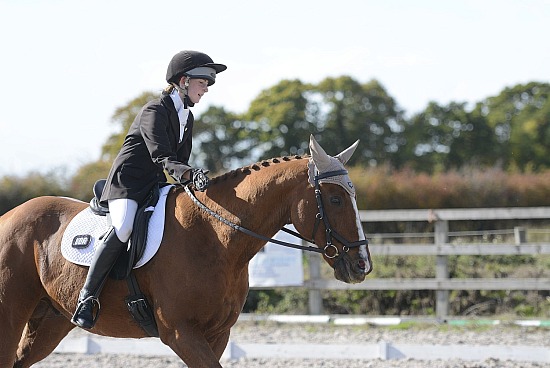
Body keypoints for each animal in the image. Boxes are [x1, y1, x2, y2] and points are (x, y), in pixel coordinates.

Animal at [0, 136, 374, 368]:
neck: (216, 238)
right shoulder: (181, 333)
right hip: (12, 316)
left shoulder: (216, 334)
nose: (361, 266)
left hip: (49, 321)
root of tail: (9, 216)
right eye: (335, 199)